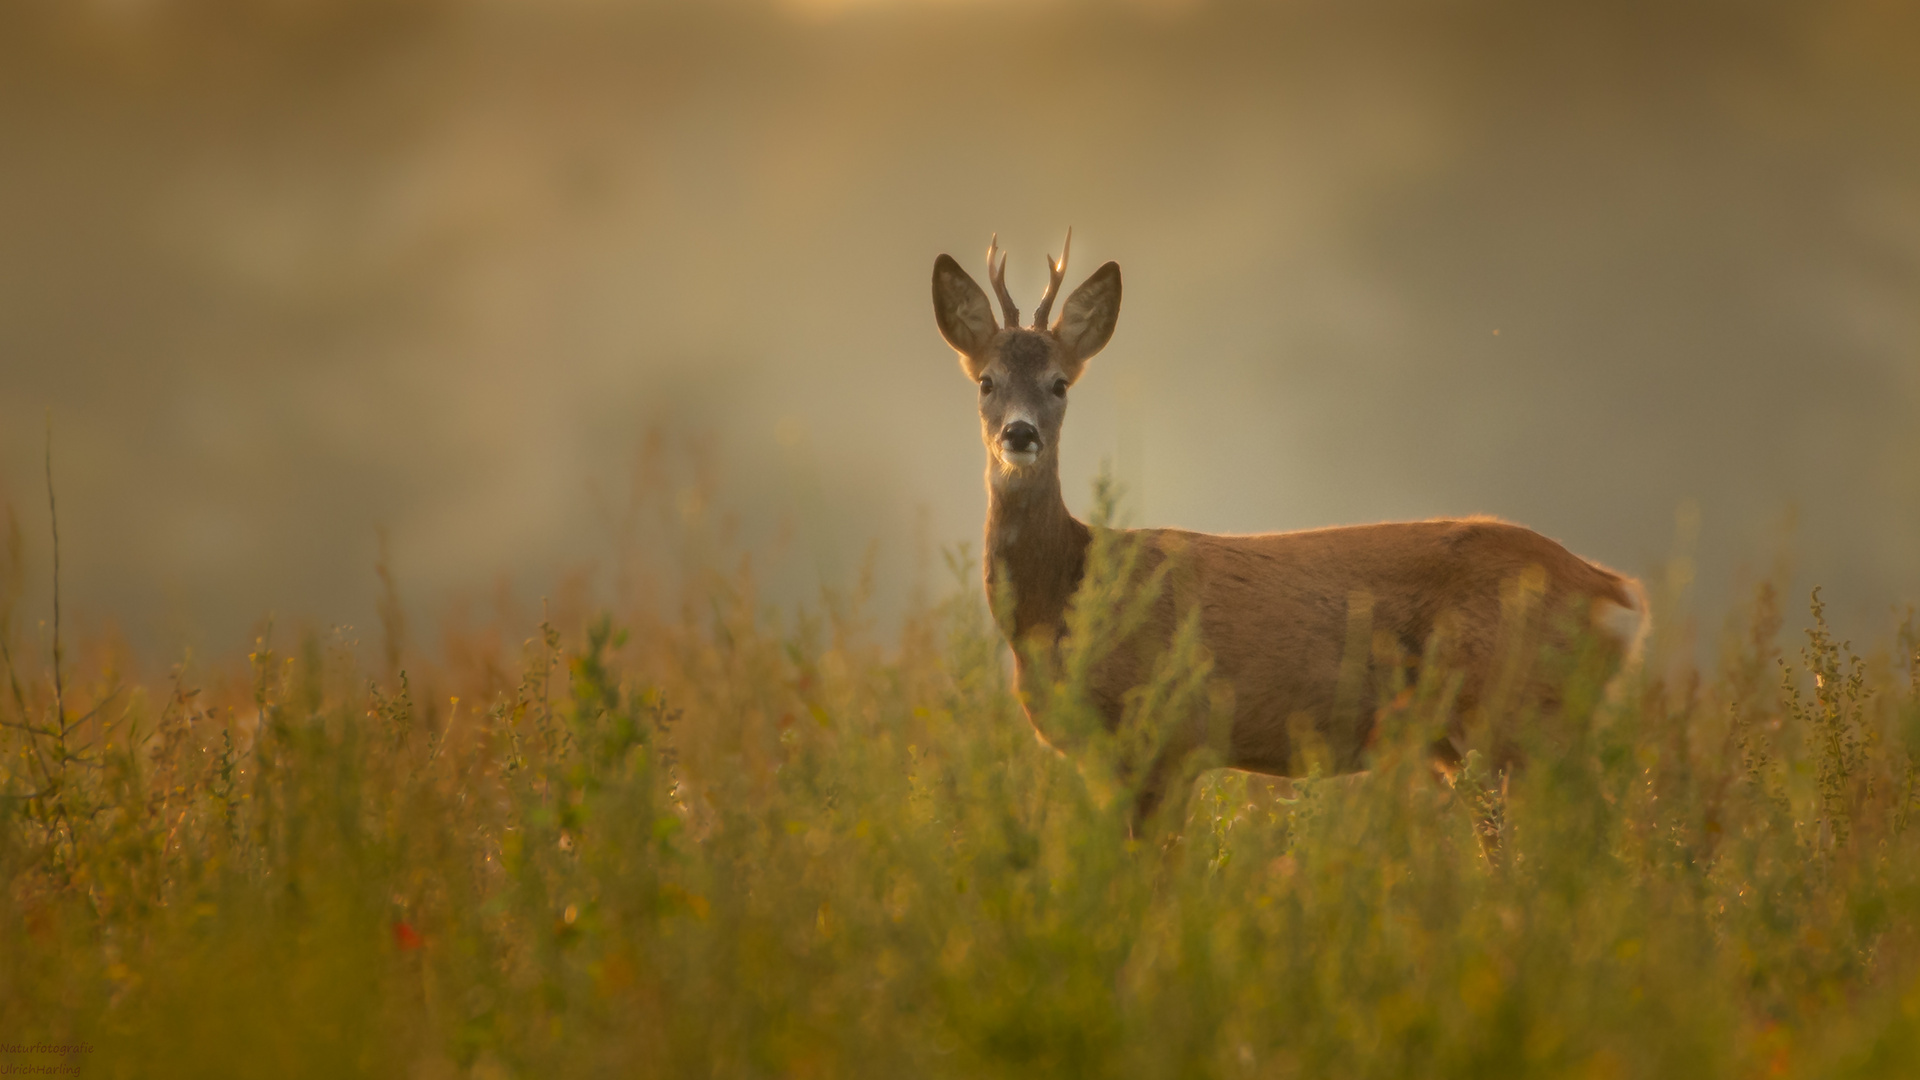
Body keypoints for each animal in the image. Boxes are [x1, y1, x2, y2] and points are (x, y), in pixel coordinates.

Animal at [929, 228, 1651, 834]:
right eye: (987, 381)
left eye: (1060, 384)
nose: (1020, 434)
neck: (1066, 598)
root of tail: (1612, 592)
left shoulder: (1168, 736)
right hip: (1475, 739)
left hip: (1516, 712)